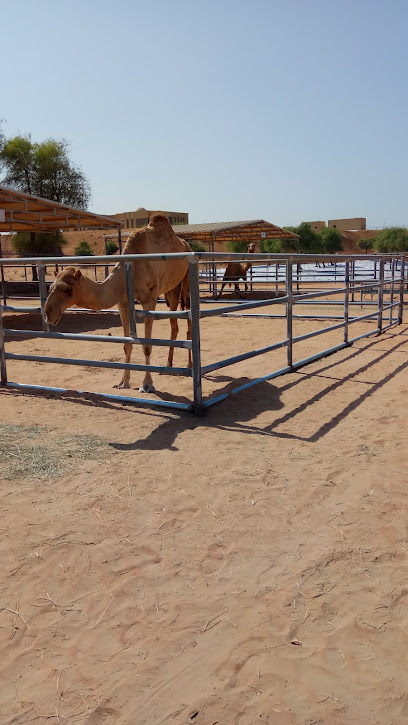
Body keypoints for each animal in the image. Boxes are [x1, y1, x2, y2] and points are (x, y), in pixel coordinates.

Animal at [44, 214, 192, 393]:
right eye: (50, 287)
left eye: (67, 289)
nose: (48, 312)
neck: (130, 269)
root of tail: (186, 244)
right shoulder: (123, 302)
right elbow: (127, 344)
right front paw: (123, 382)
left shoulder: (149, 299)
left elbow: (147, 346)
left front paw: (147, 384)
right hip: (171, 290)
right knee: (174, 323)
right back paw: (168, 366)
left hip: (187, 280)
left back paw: (189, 366)